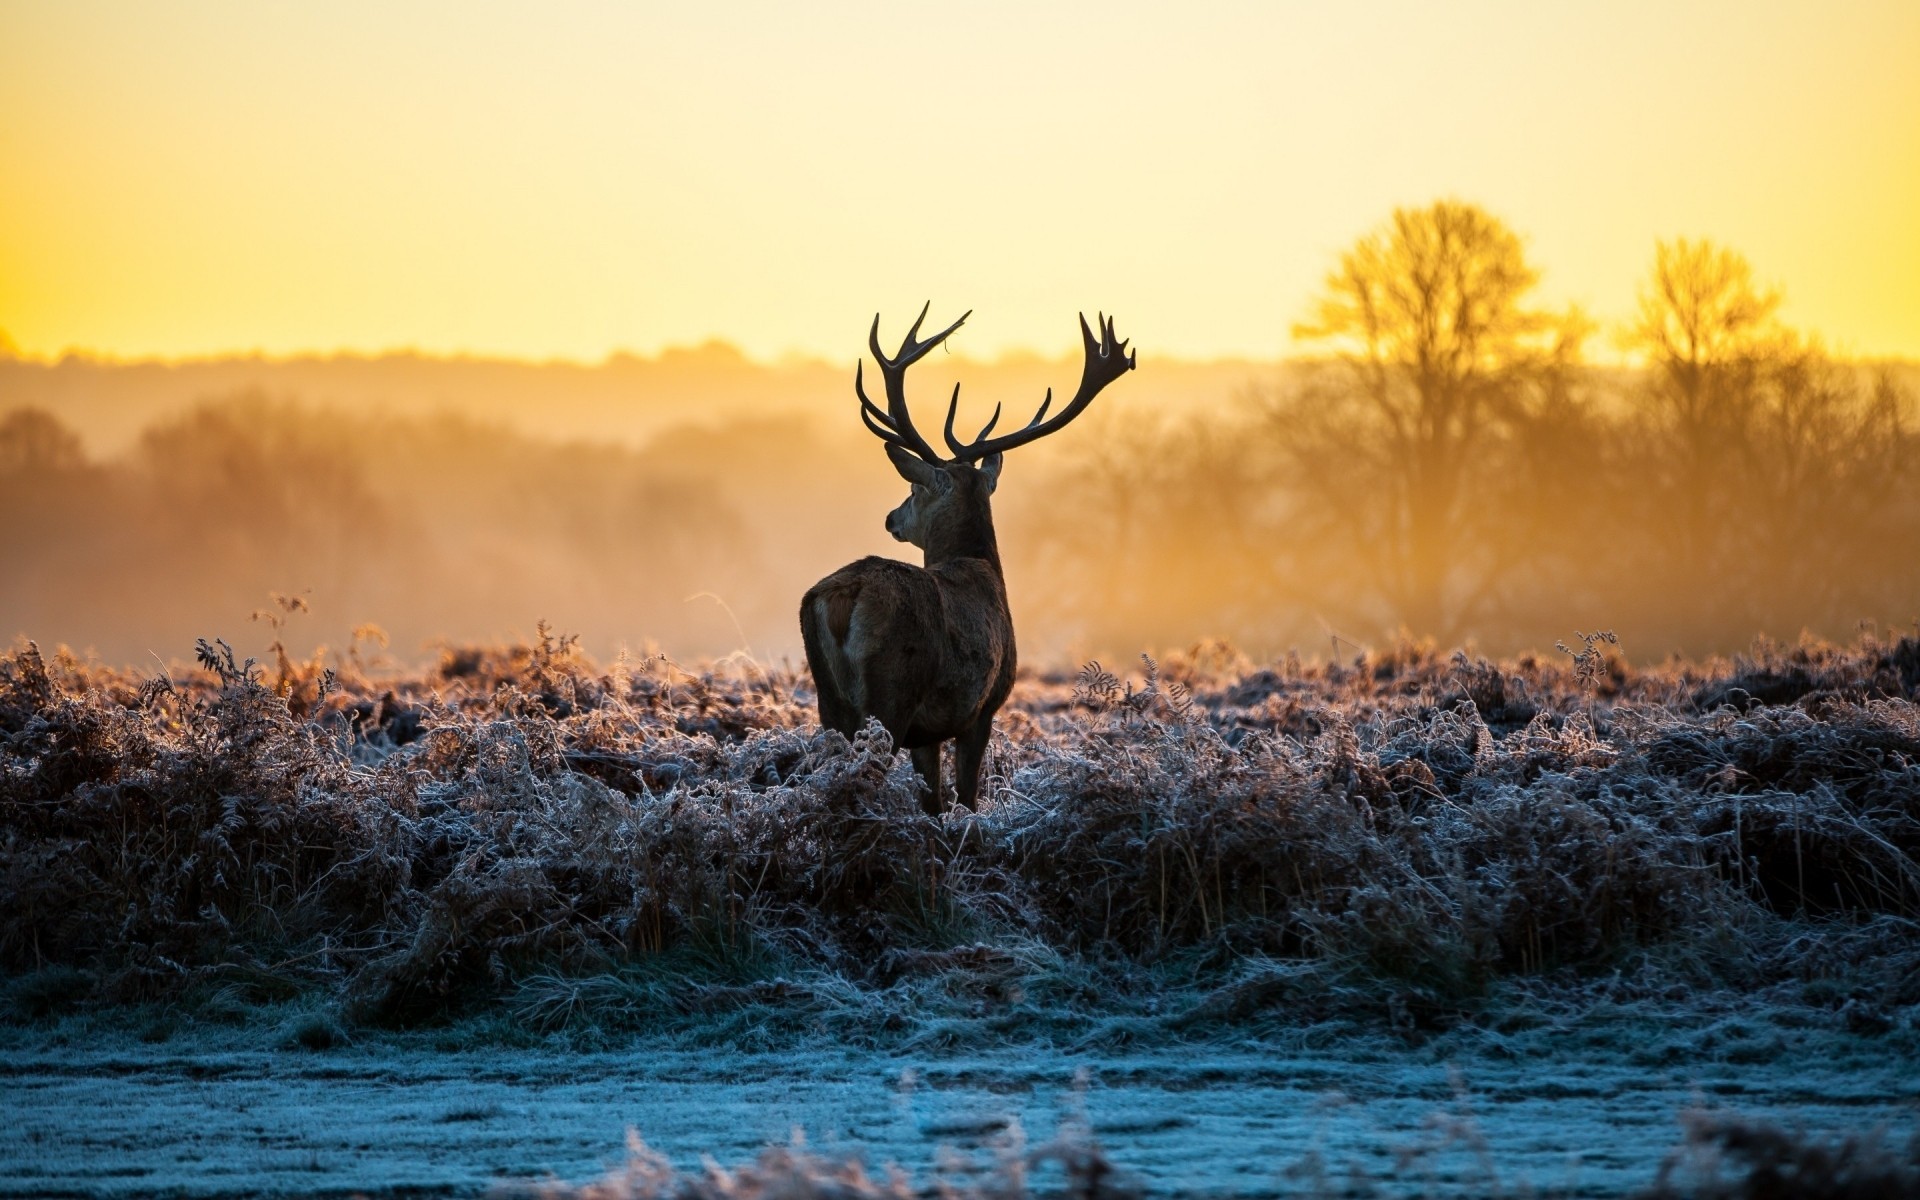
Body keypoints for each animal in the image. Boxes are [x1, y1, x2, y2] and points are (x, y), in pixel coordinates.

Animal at [798, 309, 1128, 814]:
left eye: (913, 489)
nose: (891, 517)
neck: (980, 566)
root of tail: (842, 597)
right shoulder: (982, 707)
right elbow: (966, 798)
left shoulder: (929, 732)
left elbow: (933, 800)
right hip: (891, 692)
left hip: (829, 701)